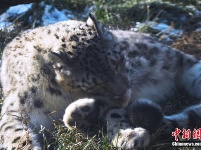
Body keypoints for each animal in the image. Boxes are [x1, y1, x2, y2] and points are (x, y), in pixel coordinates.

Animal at [0, 13, 201, 149]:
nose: (125, 92)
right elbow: (13, 132)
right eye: (95, 83)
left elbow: (116, 114)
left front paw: (127, 135)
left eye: (119, 62)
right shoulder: (17, 108)